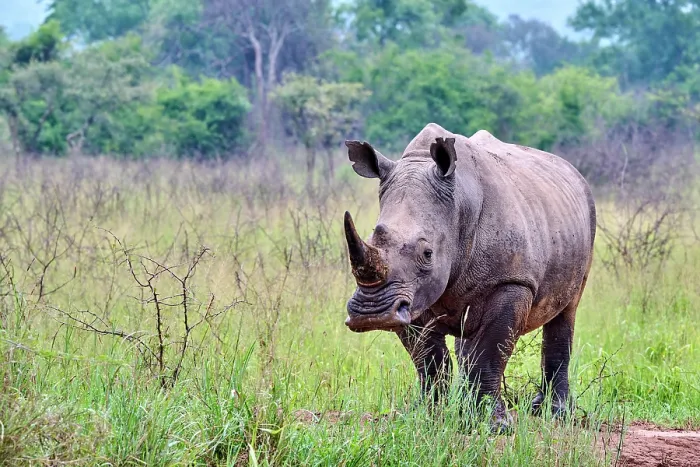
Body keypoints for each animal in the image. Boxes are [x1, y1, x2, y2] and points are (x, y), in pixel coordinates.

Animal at [343, 123, 596, 430]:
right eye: (371, 238)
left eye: (427, 253)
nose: (372, 314)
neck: (459, 204)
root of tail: (573, 172)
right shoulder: (410, 296)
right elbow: (428, 359)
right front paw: (427, 415)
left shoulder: (510, 281)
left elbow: (489, 352)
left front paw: (494, 426)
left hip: (587, 219)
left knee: (566, 310)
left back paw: (553, 413)